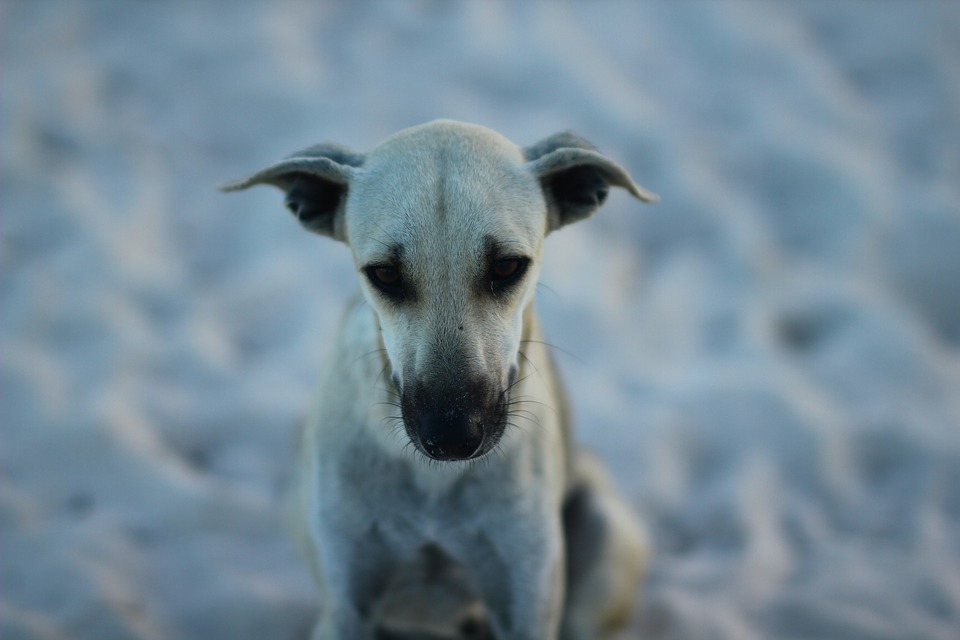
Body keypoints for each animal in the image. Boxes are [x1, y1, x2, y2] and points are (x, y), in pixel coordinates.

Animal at [223, 121, 660, 640]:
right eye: (385, 273)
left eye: (507, 266)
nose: (452, 436)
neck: (435, 486)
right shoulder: (347, 602)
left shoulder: (524, 601)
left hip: (606, 534)